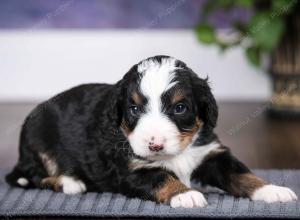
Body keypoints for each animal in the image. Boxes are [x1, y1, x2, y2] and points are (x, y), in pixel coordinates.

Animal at [5, 55, 296, 208]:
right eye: (134, 109)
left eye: (180, 108)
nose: (154, 145)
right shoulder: (132, 170)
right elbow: (161, 177)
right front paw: (185, 194)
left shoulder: (211, 153)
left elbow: (241, 173)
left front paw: (271, 190)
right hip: (37, 142)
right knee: (32, 176)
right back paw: (70, 182)